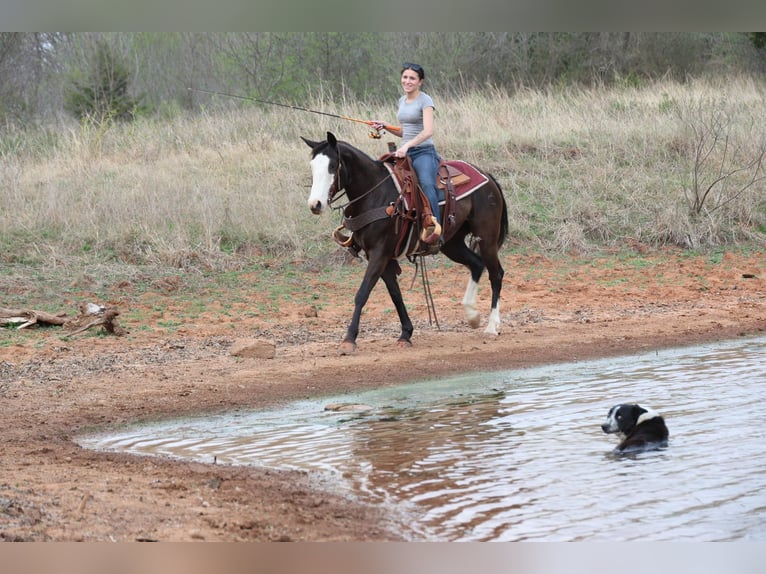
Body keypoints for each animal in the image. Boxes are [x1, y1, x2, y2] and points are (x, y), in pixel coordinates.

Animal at [302, 132, 508, 354]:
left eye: (333, 166)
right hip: (452, 244)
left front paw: (349, 338)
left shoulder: (380, 253)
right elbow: (395, 294)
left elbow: (362, 293)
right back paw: (472, 316)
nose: (315, 204)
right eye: (312, 166)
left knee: (496, 274)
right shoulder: (378, 256)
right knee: (476, 264)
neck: (375, 194)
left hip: (487, 238)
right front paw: (406, 334)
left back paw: (491, 326)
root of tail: (487, 177)